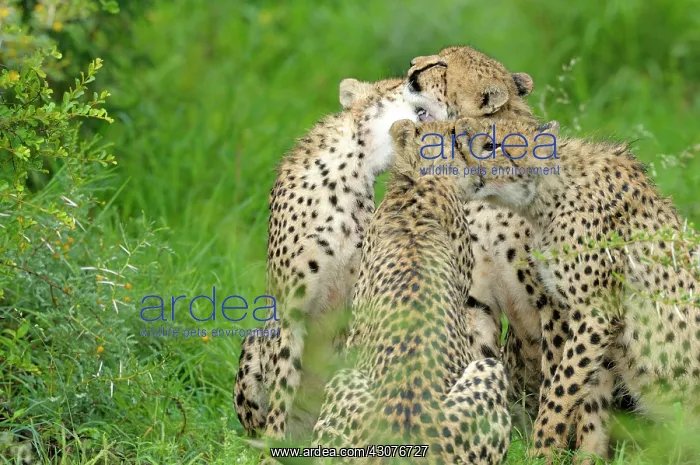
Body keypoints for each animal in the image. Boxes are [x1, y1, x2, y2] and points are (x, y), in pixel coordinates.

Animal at [410, 115, 699, 463]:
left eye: (490, 145)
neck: (547, 196)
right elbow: (589, 402)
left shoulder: (592, 313)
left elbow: (562, 389)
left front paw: (541, 451)